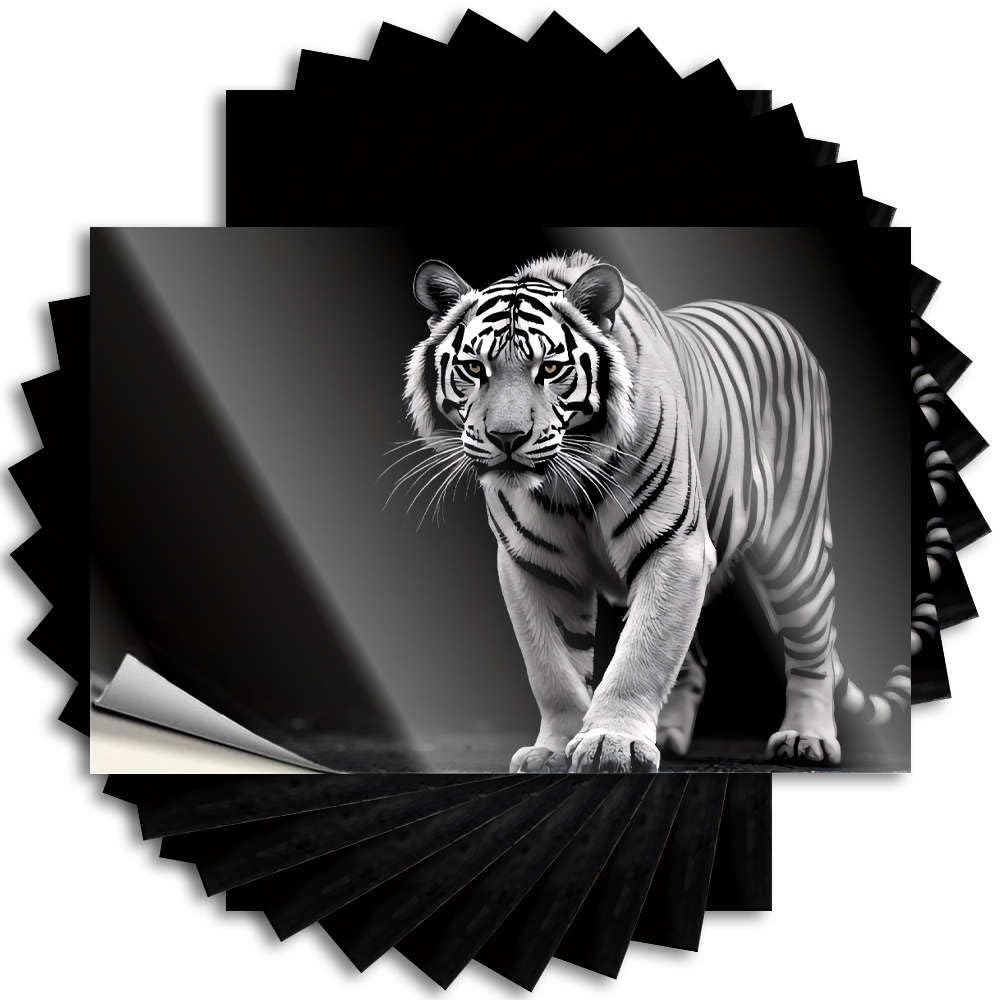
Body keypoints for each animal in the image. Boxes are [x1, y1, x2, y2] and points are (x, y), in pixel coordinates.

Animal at [401, 252, 910, 773]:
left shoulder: (676, 548)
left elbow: (640, 655)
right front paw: (553, 748)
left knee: (812, 649)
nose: (506, 437)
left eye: (550, 368)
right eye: (473, 368)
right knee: (692, 661)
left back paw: (807, 738)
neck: (568, 483)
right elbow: (553, 669)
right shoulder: (534, 564)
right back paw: (667, 734)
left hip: (795, 550)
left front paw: (612, 742)